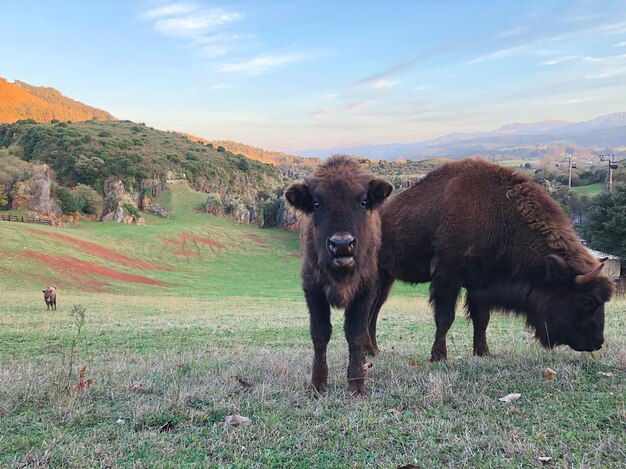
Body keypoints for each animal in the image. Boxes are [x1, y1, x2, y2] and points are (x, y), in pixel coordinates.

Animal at [282, 155, 390, 394]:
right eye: (316, 203)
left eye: (363, 202)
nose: (341, 245)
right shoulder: (313, 289)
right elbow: (320, 333)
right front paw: (318, 385)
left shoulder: (365, 290)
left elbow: (355, 332)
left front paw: (357, 385)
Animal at [368, 159, 612, 360]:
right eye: (587, 301)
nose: (597, 343)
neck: (498, 213)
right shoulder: (448, 277)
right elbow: (446, 317)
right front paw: (438, 356)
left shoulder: (482, 284)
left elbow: (481, 319)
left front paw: (483, 352)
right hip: (378, 278)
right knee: (371, 311)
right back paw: (371, 351)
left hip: (387, 279)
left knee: (374, 311)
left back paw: (374, 351)